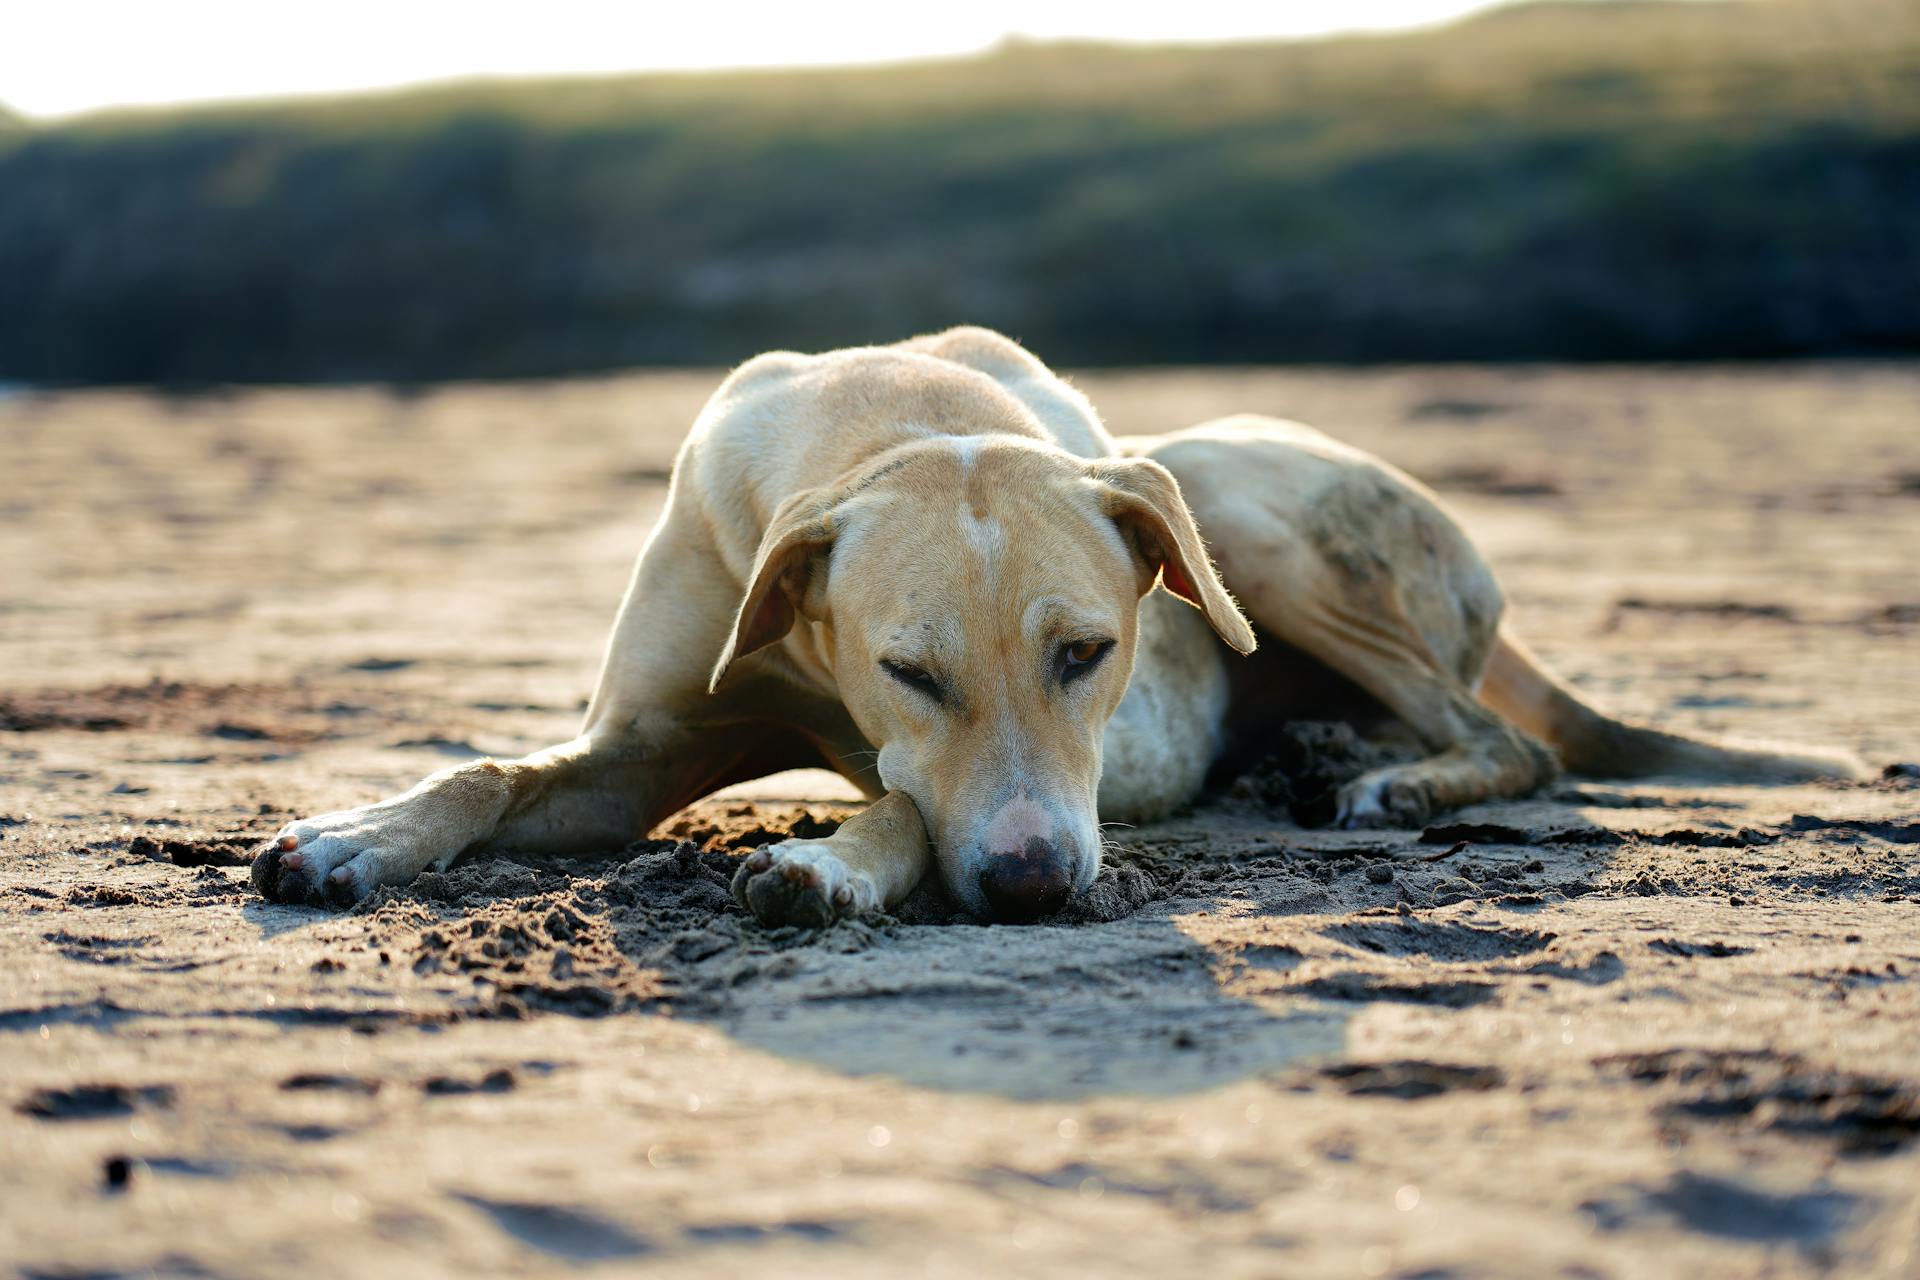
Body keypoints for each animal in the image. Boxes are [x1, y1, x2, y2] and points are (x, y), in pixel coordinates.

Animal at [243, 326, 1858, 924]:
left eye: (1089, 653)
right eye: (907, 668)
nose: (1028, 886)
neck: (897, 415)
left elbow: (904, 802)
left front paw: (828, 861)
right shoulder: (645, 738)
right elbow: (491, 771)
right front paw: (353, 835)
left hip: (1235, 503)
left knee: (1512, 741)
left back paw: (1391, 777)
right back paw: (1322, 752)